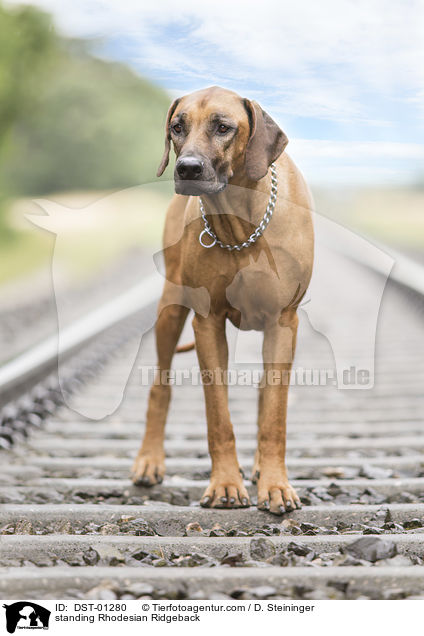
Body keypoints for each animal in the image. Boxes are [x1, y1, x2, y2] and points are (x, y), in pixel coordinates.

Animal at [132, 84, 314, 516]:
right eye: (177, 127)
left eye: (223, 127)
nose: (187, 168)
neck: (242, 224)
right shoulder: (207, 322)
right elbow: (219, 416)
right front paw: (226, 485)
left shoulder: (284, 321)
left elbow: (274, 415)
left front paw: (276, 484)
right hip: (170, 307)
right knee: (160, 387)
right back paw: (149, 460)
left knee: (266, 394)